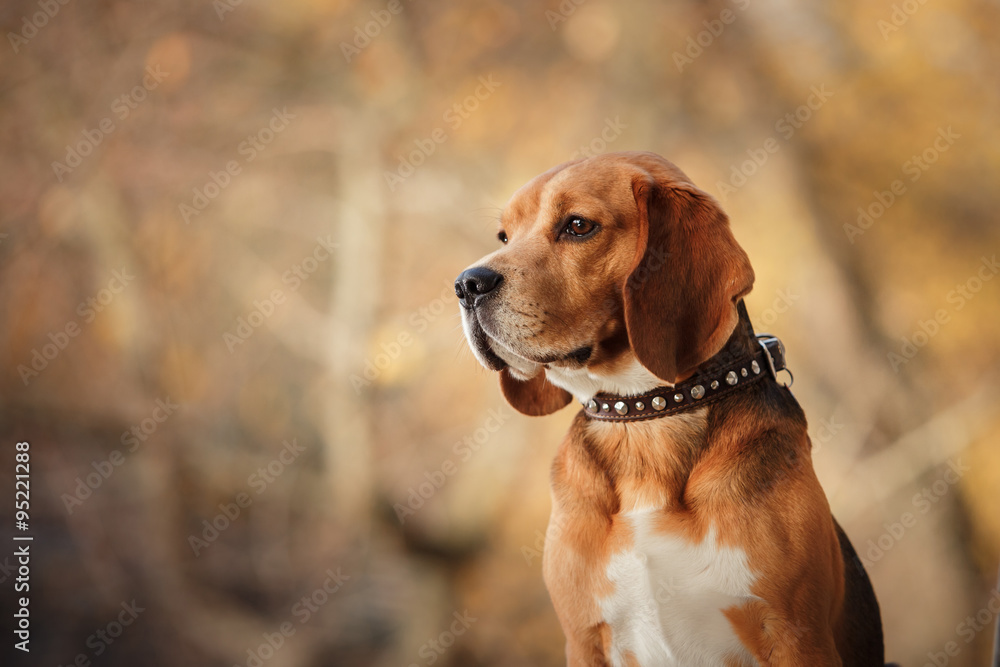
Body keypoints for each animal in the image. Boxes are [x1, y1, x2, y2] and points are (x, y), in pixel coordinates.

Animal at [458, 154, 888, 664]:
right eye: (504, 236)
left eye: (578, 226)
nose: (467, 284)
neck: (648, 415)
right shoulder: (583, 639)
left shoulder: (797, 637)